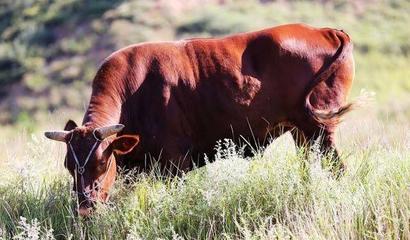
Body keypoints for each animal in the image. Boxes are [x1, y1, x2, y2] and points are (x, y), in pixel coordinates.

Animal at [44, 23, 352, 217]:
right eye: (69, 166)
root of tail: (326, 31)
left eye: (101, 163)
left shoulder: (175, 162)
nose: (85, 209)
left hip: (322, 129)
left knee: (338, 169)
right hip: (302, 131)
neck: (133, 90)